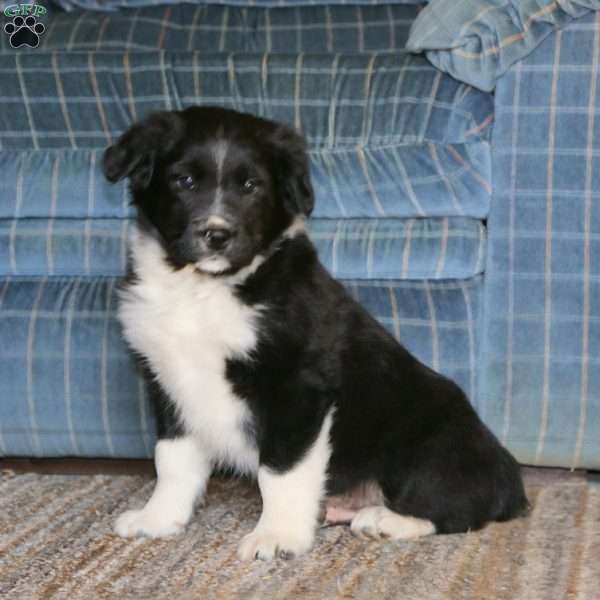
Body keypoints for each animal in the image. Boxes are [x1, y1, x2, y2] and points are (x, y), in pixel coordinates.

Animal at [105, 105, 528, 560]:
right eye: (184, 181)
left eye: (251, 185)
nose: (217, 235)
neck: (203, 289)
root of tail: (514, 485)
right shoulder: (169, 382)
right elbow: (172, 460)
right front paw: (159, 518)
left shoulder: (298, 389)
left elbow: (280, 470)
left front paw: (277, 535)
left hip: (429, 444)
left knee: (455, 508)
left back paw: (384, 520)